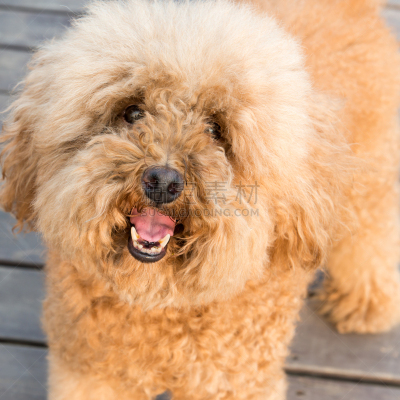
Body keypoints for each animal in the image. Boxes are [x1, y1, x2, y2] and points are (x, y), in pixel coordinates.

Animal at [1, 0, 400, 398]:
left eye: (215, 129)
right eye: (132, 112)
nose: (162, 181)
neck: (160, 303)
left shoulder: (235, 381)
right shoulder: (91, 372)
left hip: (370, 182)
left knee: (369, 241)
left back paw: (364, 305)